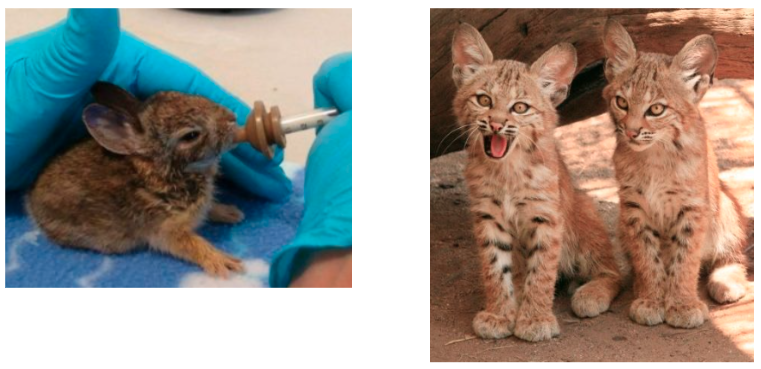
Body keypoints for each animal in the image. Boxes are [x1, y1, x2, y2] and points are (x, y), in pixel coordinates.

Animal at [26, 80, 245, 276]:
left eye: (189, 96)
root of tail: (32, 199)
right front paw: (223, 262)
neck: (167, 171)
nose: (232, 118)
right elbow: (193, 245)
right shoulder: (166, 229)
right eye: (190, 136)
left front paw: (231, 213)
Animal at [452, 22, 624, 340]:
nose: (496, 124)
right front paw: (499, 313)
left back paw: (590, 293)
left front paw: (535, 319)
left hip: (583, 213)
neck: (507, 169)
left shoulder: (546, 217)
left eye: (520, 108)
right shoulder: (488, 216)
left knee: (613, 271)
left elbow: (542, 269)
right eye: (484, 100)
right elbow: (494, 268)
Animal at [604, 18, 744, 326]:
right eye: (622, 103)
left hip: (725, 204)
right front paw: (651, 299)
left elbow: (686, 258)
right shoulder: (632, 206)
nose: (631, 132)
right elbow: (646, 255)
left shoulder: (693, 206)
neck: (656, 155)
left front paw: (682, 304)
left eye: (656, 109)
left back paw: (727, 283)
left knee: (732, 255)